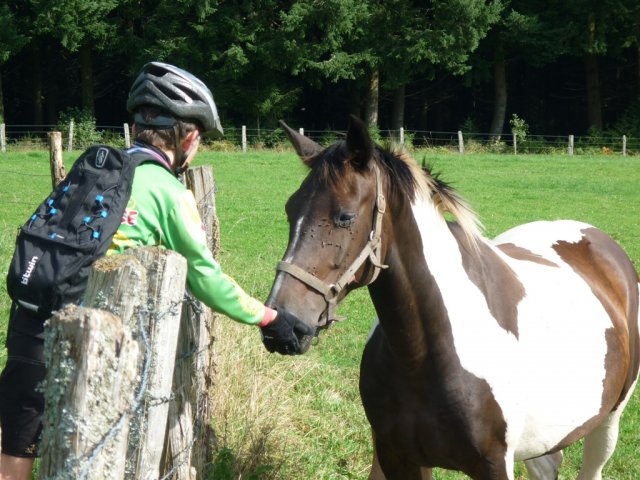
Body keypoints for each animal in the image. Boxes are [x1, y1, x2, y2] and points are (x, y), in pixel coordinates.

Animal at [262, 116, 636, 480]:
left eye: (345, 216)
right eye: (290, 210)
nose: (282, 326)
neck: (423, 355)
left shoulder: (494, 465)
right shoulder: (399, 459)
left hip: (608, 422)